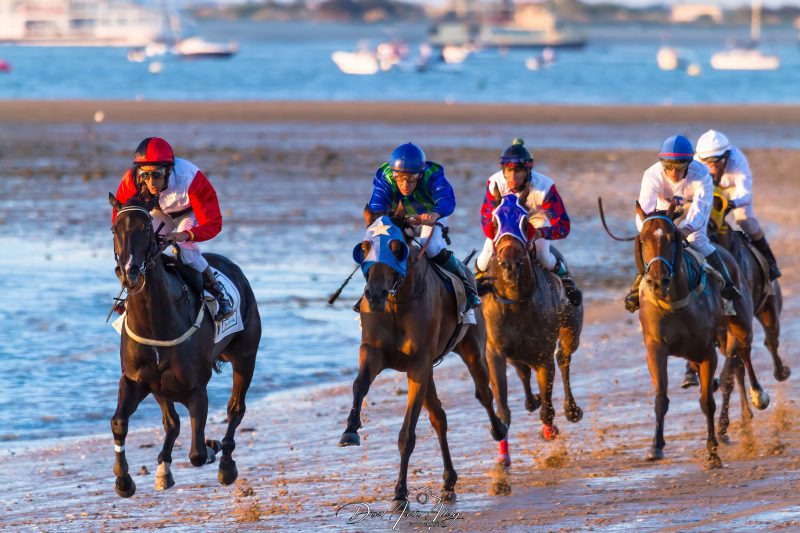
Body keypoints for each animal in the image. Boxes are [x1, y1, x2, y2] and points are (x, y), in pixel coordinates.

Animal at [108, 194, 261, 497]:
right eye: (114, 229)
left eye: (145, 228)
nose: (129, 272)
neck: (156, 321)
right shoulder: (136, 380)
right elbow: (120, 422)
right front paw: (124, 480)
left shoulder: (196, 388)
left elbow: (198, 453)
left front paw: (213, 449)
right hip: (160, 387)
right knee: (172, 423)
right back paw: (164, 468)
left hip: (245, 356)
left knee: (235, 408)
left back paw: (226, 463)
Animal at [339, 205, 507, 508]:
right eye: (365, 247)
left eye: (397, 248)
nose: (375, 293)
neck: (397, 304)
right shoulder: (374, 352)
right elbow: (359, 385)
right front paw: (350, 430)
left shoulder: (419, 365)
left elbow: (407, 434)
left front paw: (400, 492)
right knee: (439, 417)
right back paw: (449, 480)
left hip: (472, 349)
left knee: (484, 393)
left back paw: (498, 429)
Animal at [480, 189, 583, 467]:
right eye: (494, 222)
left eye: (525, 222)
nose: (510, 263)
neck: (516, 300)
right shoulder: (496, 350)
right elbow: (503, 408)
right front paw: (502, 455)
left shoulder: (543, 353)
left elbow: (548, 403)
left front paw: (550, 427)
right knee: (523, 373)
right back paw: (530, 401)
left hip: (571, 330)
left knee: (564, 359)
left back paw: (570, 410)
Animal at [635, 200, 767, 468]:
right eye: (643, 239)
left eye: (671, 237)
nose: (657, 281)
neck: (674, 302)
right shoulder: (655, 348)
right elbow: (661, 397)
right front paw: (656, 447)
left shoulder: (706, 351)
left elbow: (707, 401)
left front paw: (713, 452)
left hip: (740, 323)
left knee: (745, 353)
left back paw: (758, 396)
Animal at [708, 191, 790, 443]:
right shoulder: (720, 333)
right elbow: (733, 372)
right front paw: (725, 426)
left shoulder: (739, 327)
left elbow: (729, 372)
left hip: (769, 307)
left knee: (771, 340)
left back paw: (780, 372)